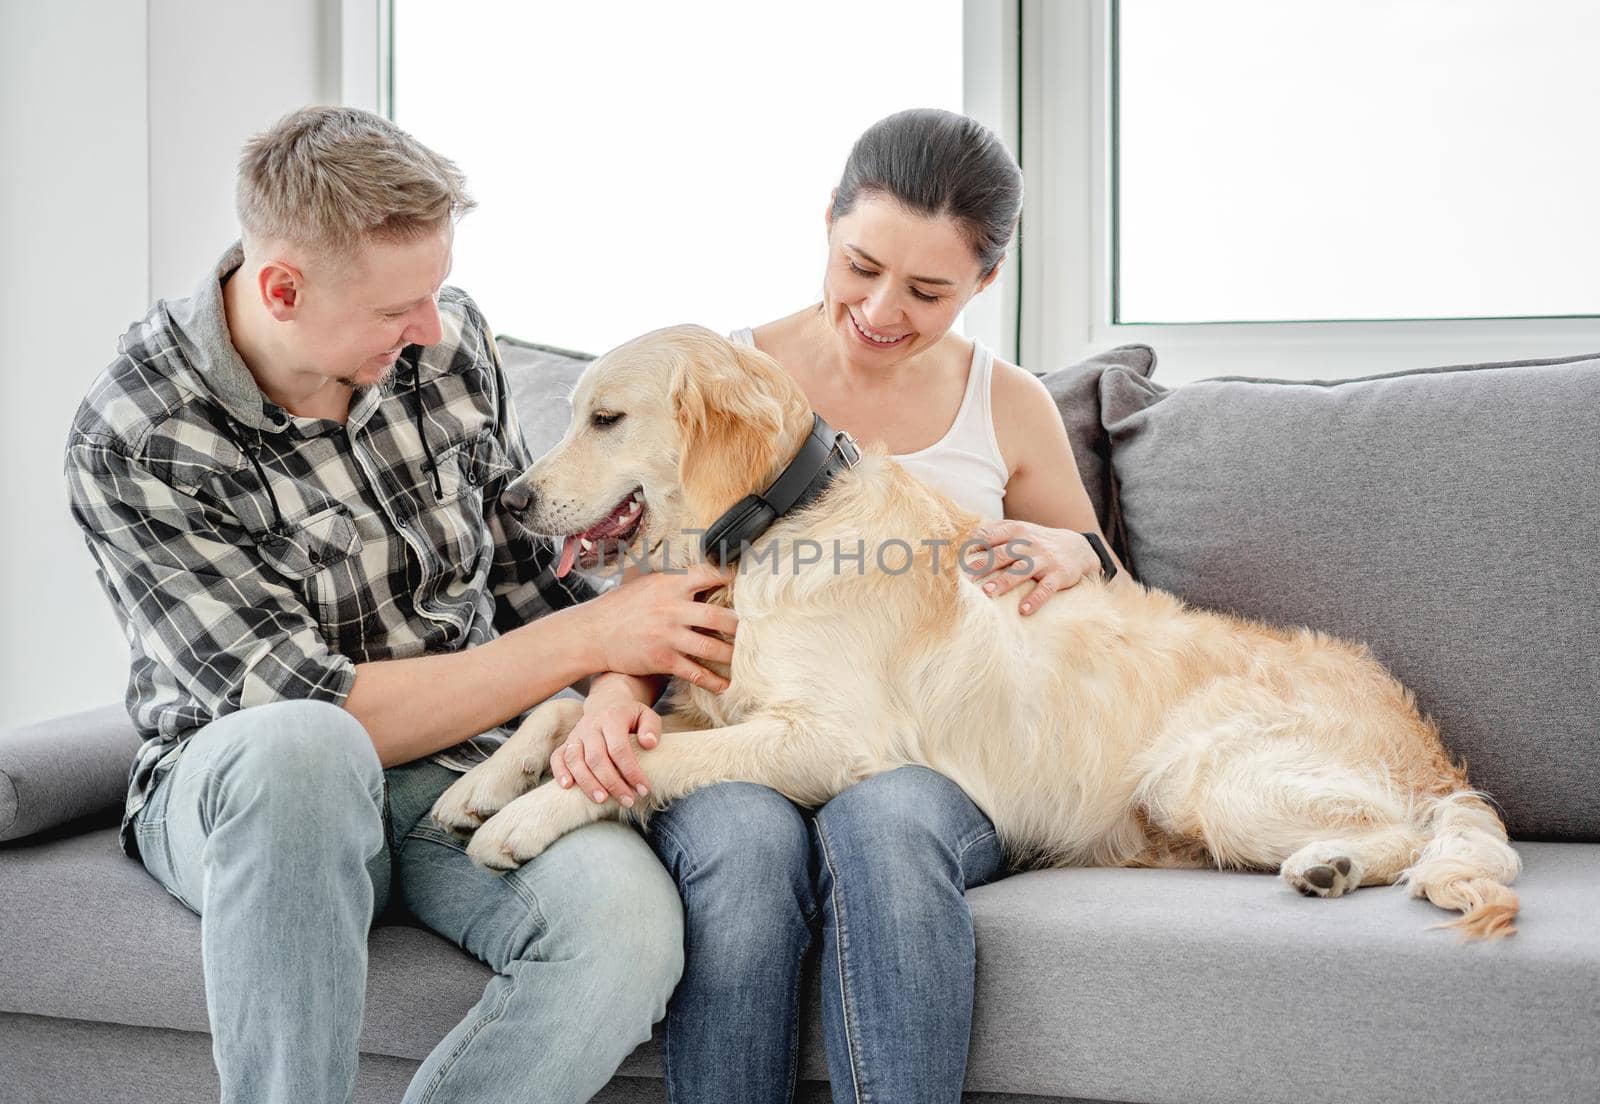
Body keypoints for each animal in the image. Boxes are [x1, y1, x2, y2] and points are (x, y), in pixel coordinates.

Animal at [432, 323, 1516, 934]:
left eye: (606, 419)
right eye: (573, 411)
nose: (510, 498)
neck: (776, 525)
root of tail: (1429, 743)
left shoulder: (829, 739)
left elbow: (644, 759)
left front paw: (529, 815)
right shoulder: (719, 702)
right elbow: (569, 706)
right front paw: (483, 785)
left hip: (1213, 776)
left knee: (1412, 834)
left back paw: (1332, 864)